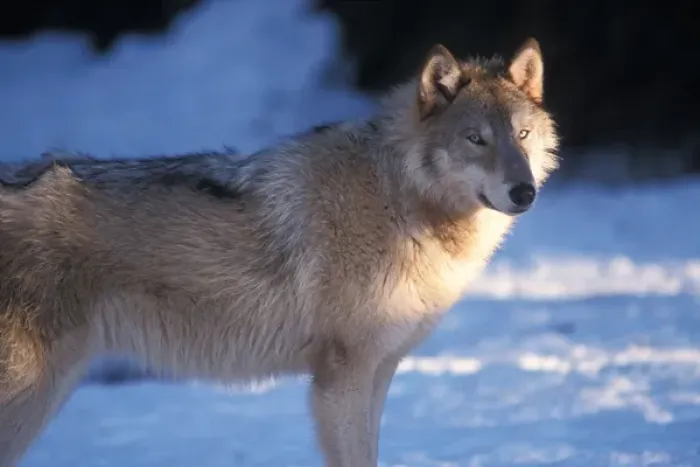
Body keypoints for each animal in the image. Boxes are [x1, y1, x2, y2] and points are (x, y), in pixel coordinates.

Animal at [0, 38, 558, 466]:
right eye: (475, 139)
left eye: (522, 135)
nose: (524, 192)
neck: (399, 199)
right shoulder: (341, 381)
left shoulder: (379, 372)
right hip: (30, 396)